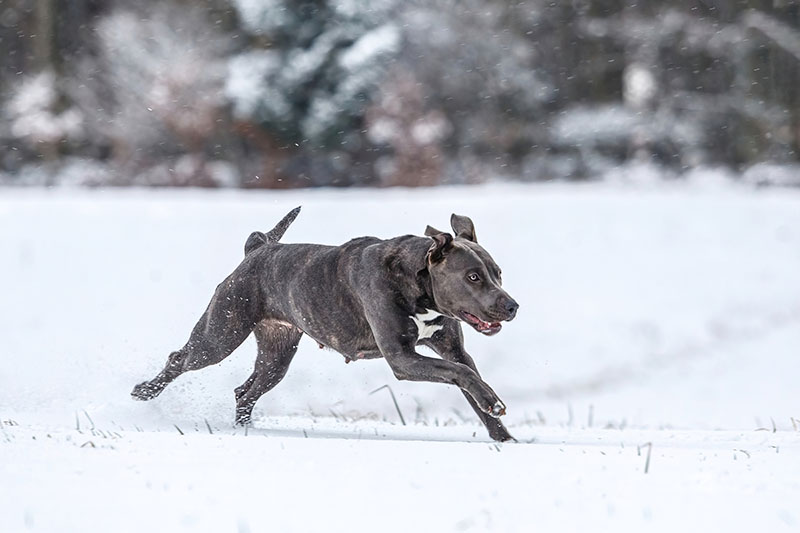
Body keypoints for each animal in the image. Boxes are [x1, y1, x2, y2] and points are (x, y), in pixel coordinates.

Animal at [131, 208, 520, 440]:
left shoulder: (451, 351)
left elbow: (468, 380)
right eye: (472, 276)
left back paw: (245, 429)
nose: (512, 305)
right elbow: (464, 376)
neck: (417, 283)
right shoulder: (402, 358)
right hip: (220, 334)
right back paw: (145, 391)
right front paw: (494, 404)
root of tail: (258, 249)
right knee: (180, 359)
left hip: (276, 354)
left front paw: (503, 434)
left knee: (246, 390)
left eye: (498, 273)